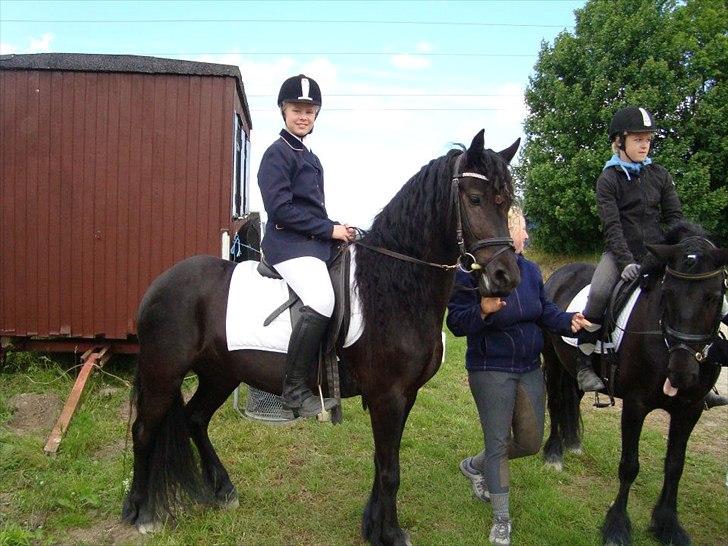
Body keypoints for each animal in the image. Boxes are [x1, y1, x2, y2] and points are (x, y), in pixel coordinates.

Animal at [121, 129, 522, 545]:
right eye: (474, 199)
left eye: (507, 200)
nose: (506, 277)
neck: (393, 286)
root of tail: (158, 285)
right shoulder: (389, 396)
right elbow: (390, 469)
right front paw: (391, 534)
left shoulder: (405, 395)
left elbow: (382, 462)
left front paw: (372, 526)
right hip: (163, 372)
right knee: (144, 430)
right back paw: (141, 512)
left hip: (220, 373)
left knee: (195, 419)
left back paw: (223, 491)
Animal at [540, 223, 727, 546]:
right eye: (668, 293)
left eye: (715, 296)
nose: (681, 373)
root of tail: (562, 272)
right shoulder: (636, 405)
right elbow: (629, 466)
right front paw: (617, 526)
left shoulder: (689, 409)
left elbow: (675, 465)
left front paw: (668, 525)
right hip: (552, 362)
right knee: (555, 403)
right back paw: (554, 452)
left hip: (570, 369)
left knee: (571, 398)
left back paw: (572, 443)